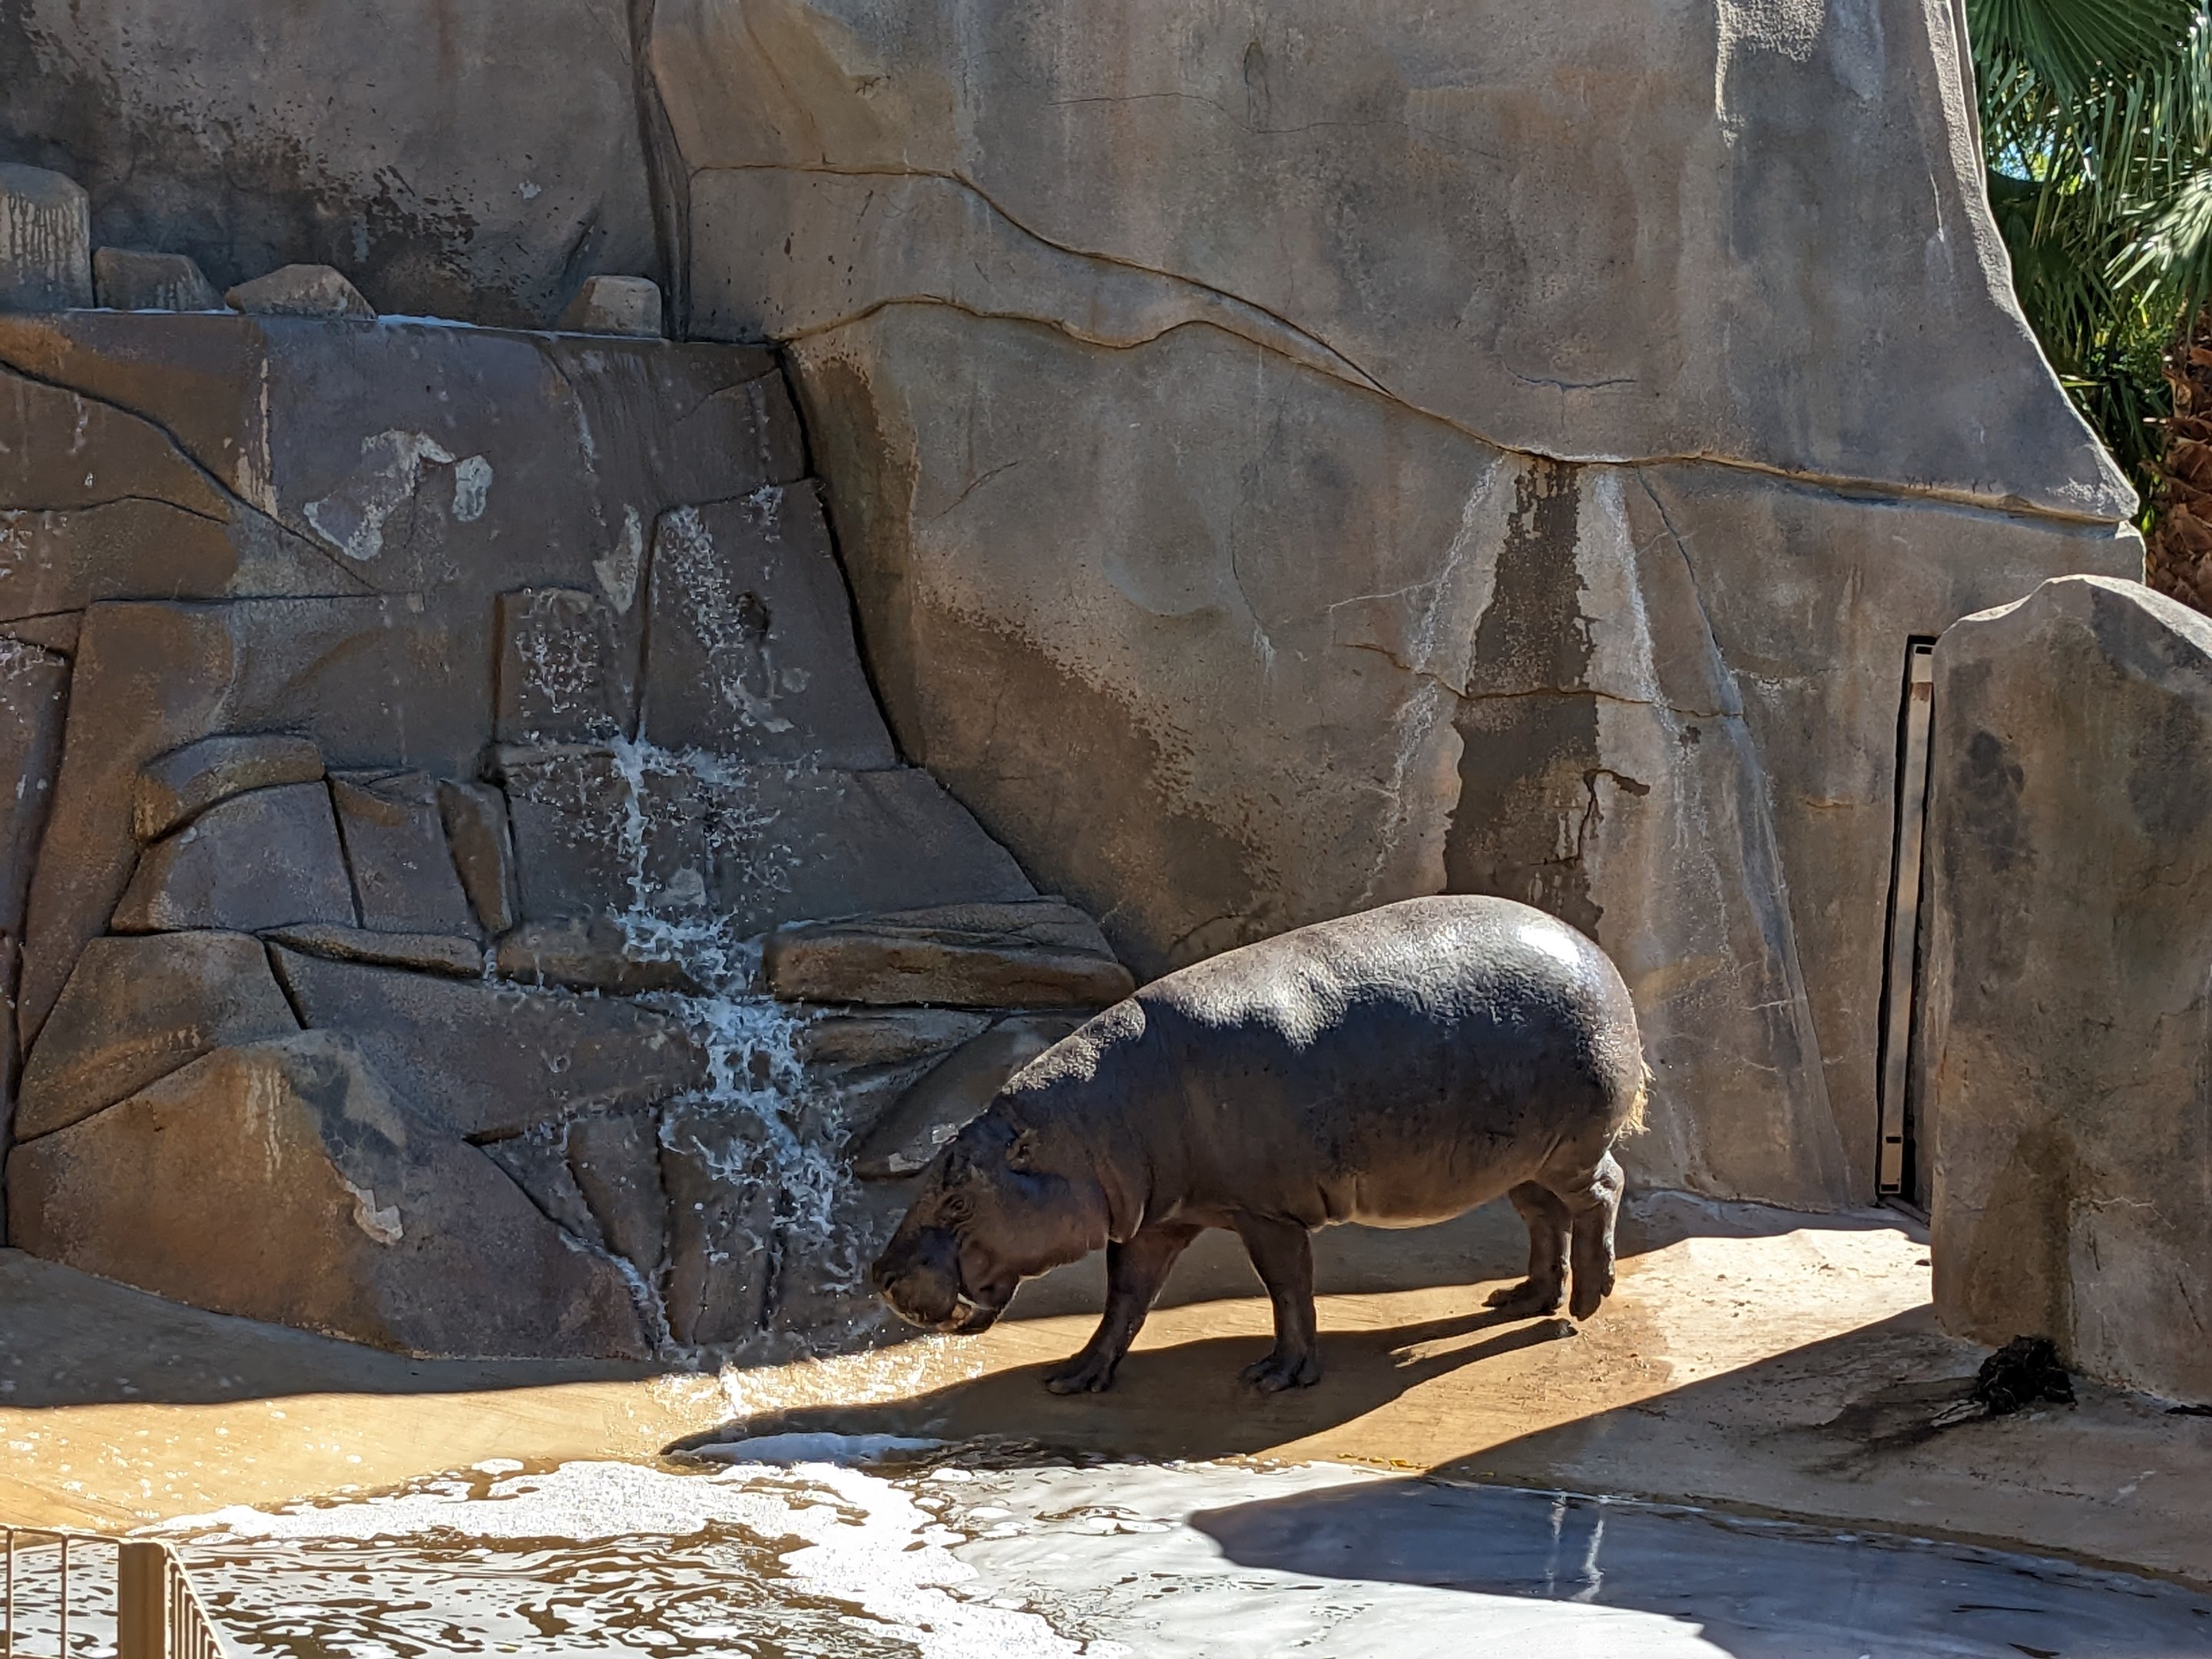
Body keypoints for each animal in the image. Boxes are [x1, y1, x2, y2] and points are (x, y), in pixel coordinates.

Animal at [870, 894, 1647, 1393]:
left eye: (958, 1198)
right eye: (937, 1173)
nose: (880, 1274)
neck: (1085, 1135)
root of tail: (1604, 962)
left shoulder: (1266, 1213)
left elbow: (1287, 1288)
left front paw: (1277, 1378)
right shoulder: (1154, 1219)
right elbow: (1126, 1298)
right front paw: (1076, 1377)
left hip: (1569, 1148)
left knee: (1602, 1193)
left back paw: (1586, 1304)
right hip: (1517, 1161)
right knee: (1544, 1218)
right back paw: (1520, 1300)